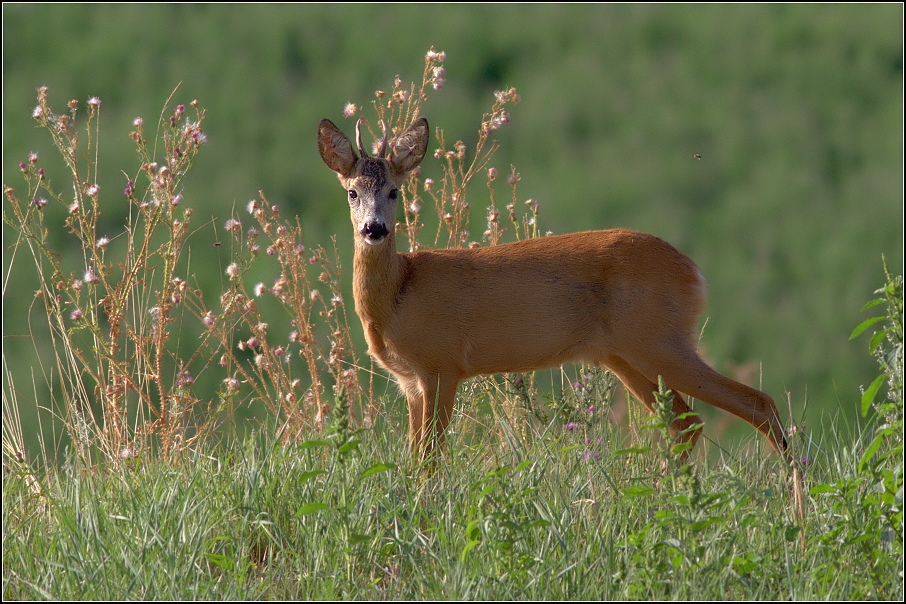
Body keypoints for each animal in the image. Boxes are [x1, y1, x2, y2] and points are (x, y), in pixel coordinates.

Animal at [316, 118, 792, 464]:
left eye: (395, 191)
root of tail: (693, 272)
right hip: (627, 354)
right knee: (685, 424)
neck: (399, 294)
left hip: (661, 341)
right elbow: (415, 459)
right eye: (352, 192)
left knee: (757, 403)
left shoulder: (441, 363)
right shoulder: (410, 381)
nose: (374, 228)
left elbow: (430, 460)